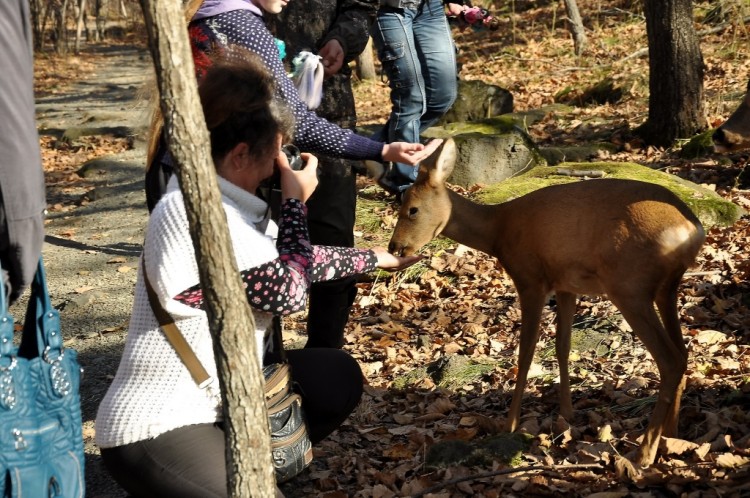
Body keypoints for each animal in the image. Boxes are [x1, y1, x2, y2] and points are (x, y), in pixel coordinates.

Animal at [390, 137, 708, 466]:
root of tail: (692, 230)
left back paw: (644, 453)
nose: (395, 247)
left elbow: (526, 352)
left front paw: (510, 424)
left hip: (629, 286)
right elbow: (562, 347)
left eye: (412, 209)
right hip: (666, 288)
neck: (497, 231)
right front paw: (566, 413)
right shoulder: (567, 285)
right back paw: (671, 435)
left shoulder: (529, 277)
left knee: (670, 360)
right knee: (683, 354)